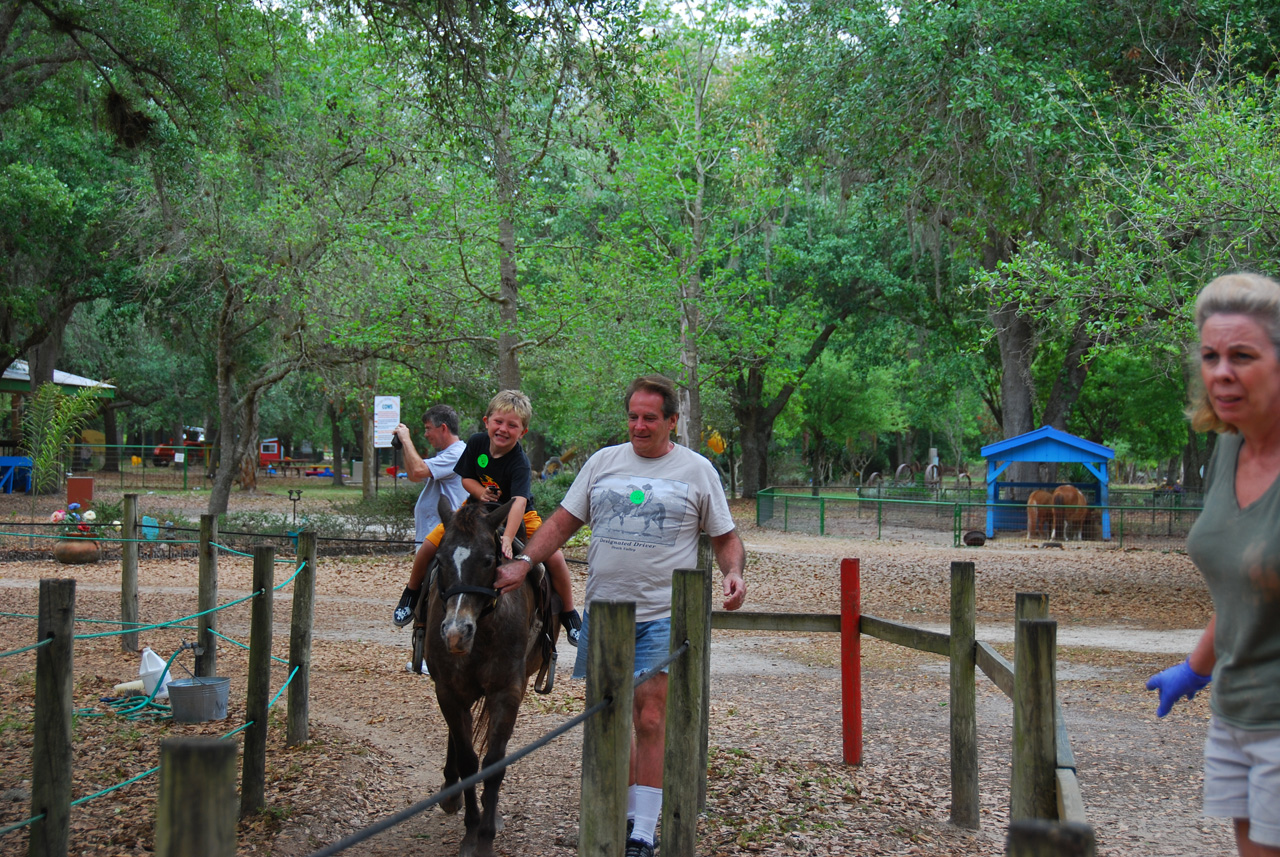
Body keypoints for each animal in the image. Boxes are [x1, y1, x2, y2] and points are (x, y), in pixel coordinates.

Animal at [424, 496, 560, 857]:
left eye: (488, 560)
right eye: (440, 560)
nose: (456, 633)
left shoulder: (507, 692)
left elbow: (494, 763)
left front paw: (486, 834)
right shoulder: (449, 691)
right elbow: (469, 761)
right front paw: (472, 831)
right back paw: (451, 790)